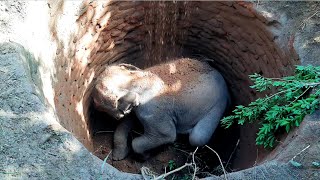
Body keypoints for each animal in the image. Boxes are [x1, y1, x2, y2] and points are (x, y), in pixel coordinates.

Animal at [92, 58, 230, 160]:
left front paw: (145, 156)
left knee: (197, 138)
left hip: (218, 104)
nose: (116, 117)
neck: (136, 79)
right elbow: (126, 122)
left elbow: (167, 135)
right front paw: (119, 156)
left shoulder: (152, 110)